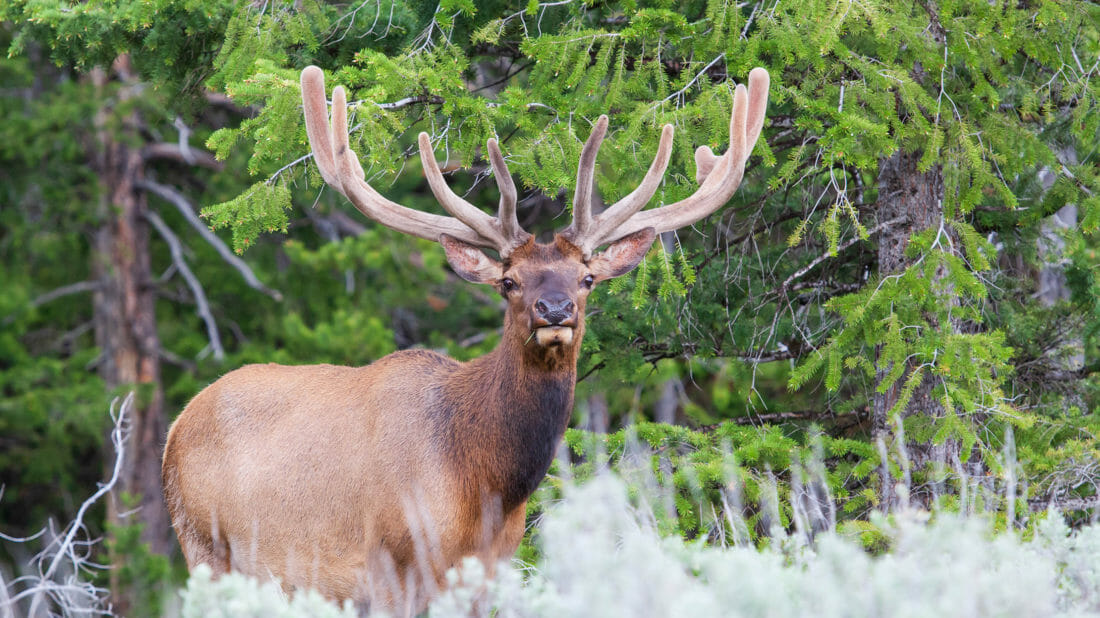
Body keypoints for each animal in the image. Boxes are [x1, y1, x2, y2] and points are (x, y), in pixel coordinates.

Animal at [162, 63, 770, 611]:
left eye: (587, 278)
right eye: (509, 282)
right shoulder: (388, 567)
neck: (481, 483)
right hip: (205, 547)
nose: (554, 309)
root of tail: (176, 427)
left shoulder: (490, 570)